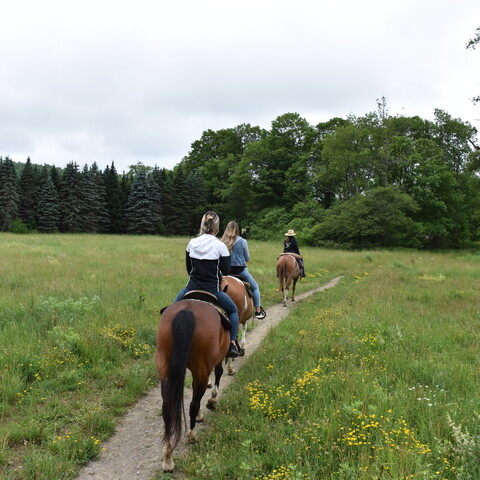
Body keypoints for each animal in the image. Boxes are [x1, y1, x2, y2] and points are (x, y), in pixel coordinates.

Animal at [156, 296, 231, 472]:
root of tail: (187, 312)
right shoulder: (218, 358)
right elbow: (218, 373)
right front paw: (212, 401)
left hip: (165, 370)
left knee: (167, 409)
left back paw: (168, 457)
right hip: (201, 369)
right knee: (194, 403)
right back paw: (192, 435)